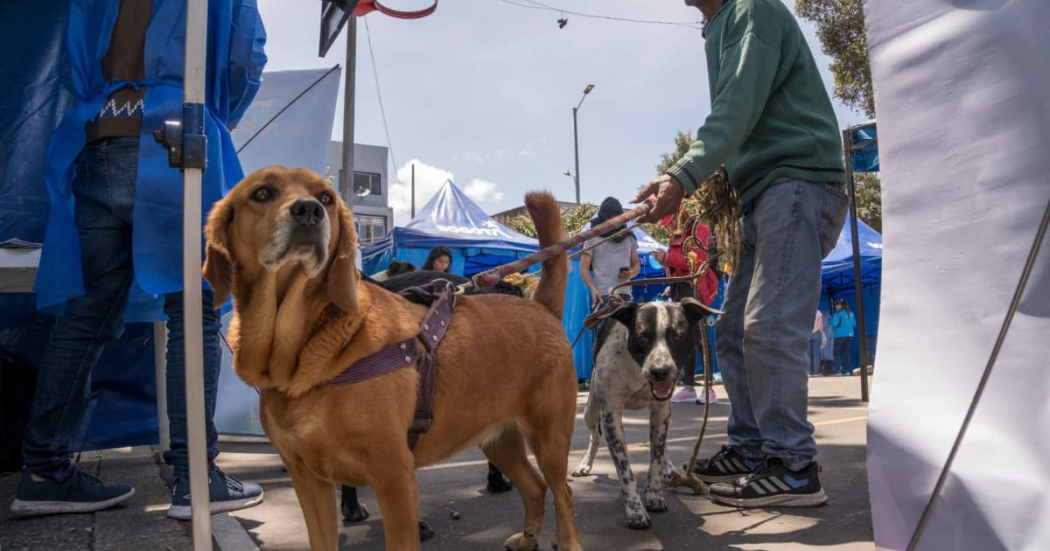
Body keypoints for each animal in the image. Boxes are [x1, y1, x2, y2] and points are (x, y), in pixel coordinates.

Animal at [202, 166, 583, 549]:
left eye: (326, 197)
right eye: (262, 193)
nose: (309, 211)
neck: (306, 349)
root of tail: (539, 306)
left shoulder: (394, 478)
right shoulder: (308, 482)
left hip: (549, 439)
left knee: (562, 492)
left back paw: (567, 541)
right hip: (499, 440)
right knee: (535, 487)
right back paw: (529, 537)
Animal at [571, 298, 718, 526]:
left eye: (677, 336)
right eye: (642, 337)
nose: (660, 371)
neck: (638, 370)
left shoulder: (661, 411)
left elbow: (656, 458)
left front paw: (654, 494)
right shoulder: (611, 415)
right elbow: (625, 470)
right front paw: (635, 509)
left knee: (663, 446)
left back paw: (668, 466)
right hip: (590, 410)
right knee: (594, 438)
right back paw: (585, 464)